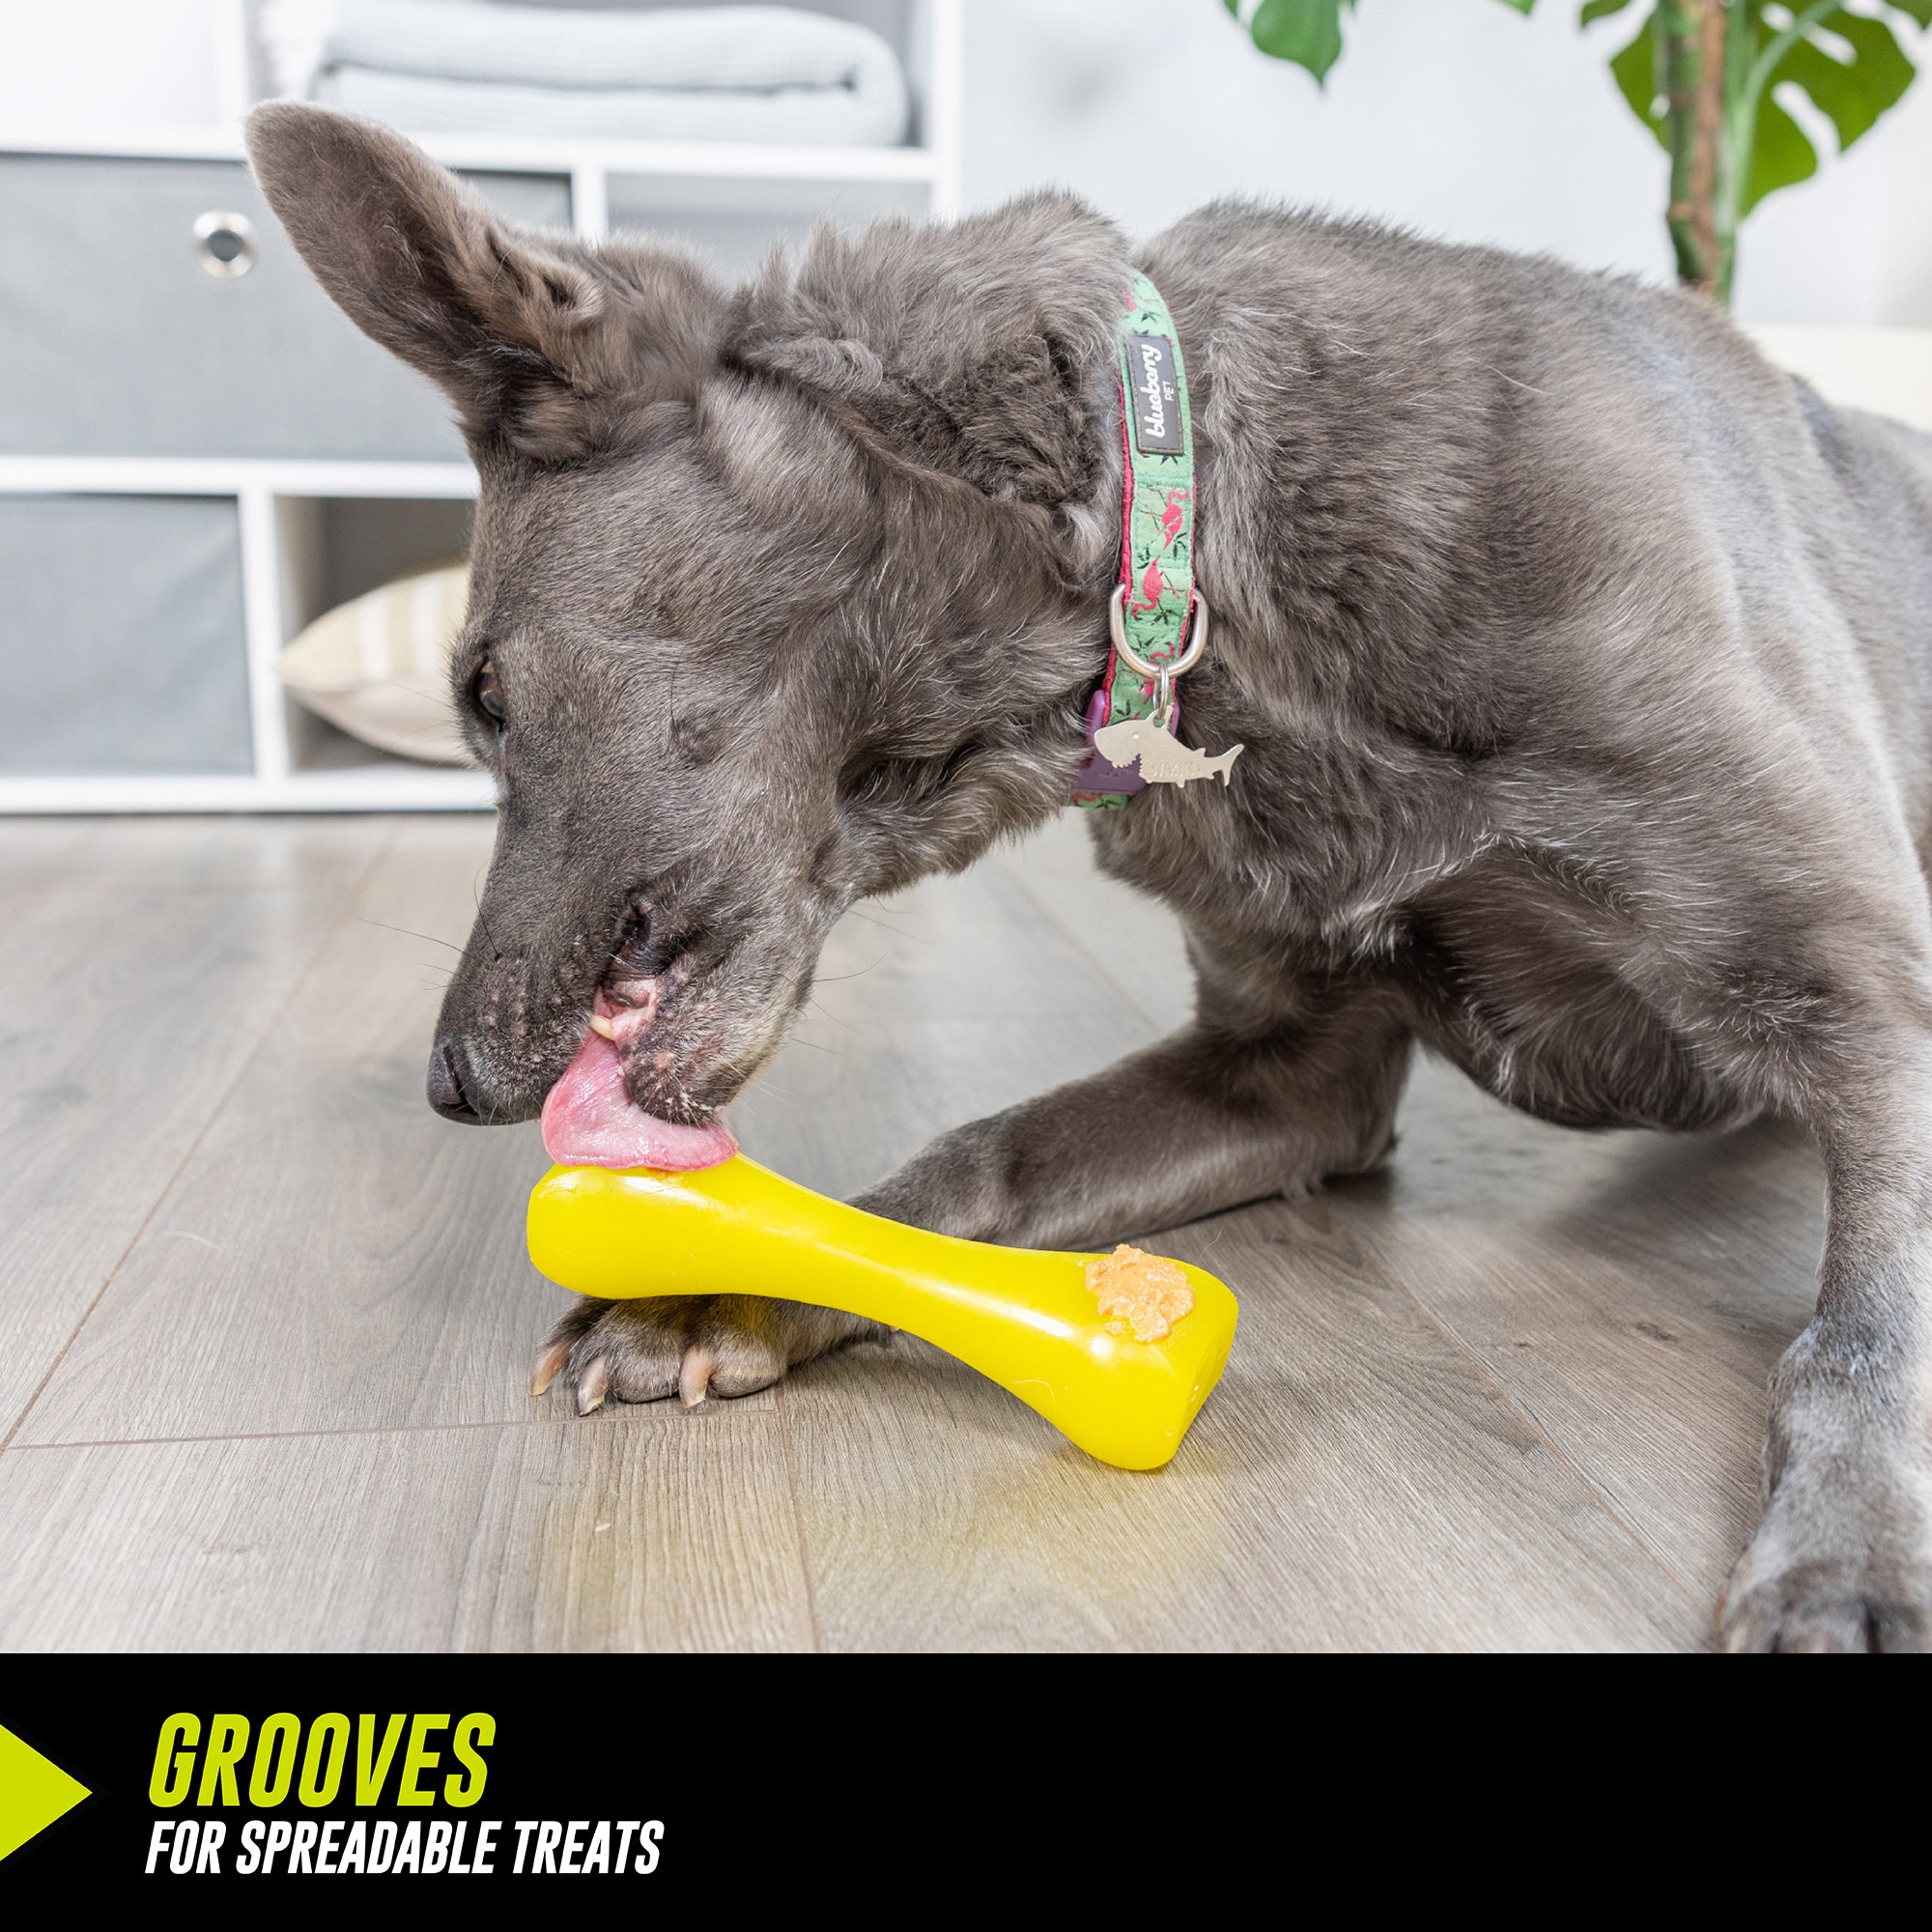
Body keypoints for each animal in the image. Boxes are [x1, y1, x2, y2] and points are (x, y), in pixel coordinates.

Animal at [253, 98, 1932, 1654]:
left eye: (482, 693)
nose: (454, 1085)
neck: (1188, 574)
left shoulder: (1866, 996)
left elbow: (1865, 1340)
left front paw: (1845, 1559)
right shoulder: (1290, 1072)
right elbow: (973, 1165)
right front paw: (732, 1290)